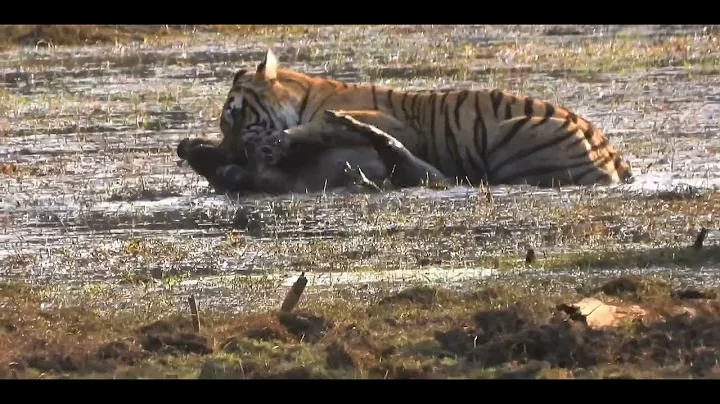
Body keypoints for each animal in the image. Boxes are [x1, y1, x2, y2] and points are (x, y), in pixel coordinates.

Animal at [218, 48, 634, 188]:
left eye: (235, 118)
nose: (228, 156)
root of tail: (617, 157)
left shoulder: (403, 127)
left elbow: (327, 123)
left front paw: (278, 144)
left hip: (510, 135)